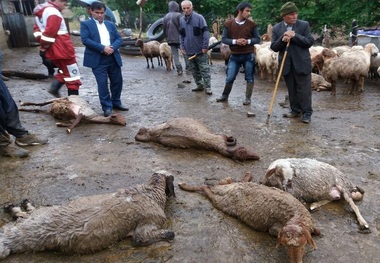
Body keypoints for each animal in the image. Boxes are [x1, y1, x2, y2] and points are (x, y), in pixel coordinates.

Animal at [0, 171, 175, 260]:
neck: (149, 191)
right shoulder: (150, 221)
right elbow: (142, 238)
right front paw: (168, 233)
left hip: (42, 213)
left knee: (27, 214)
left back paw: (17, 207)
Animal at [179, 173, 320, 263]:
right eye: (285, 246)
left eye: (303, 246)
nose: (296, 262)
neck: (296, 215)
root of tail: (224, 189)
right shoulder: (275, 228)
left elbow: (316, 230)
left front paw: (317, 231)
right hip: (224, 203)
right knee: (208, 190)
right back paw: (186, 185)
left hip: (229, 190)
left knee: (227, 181)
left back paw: (246, 175)